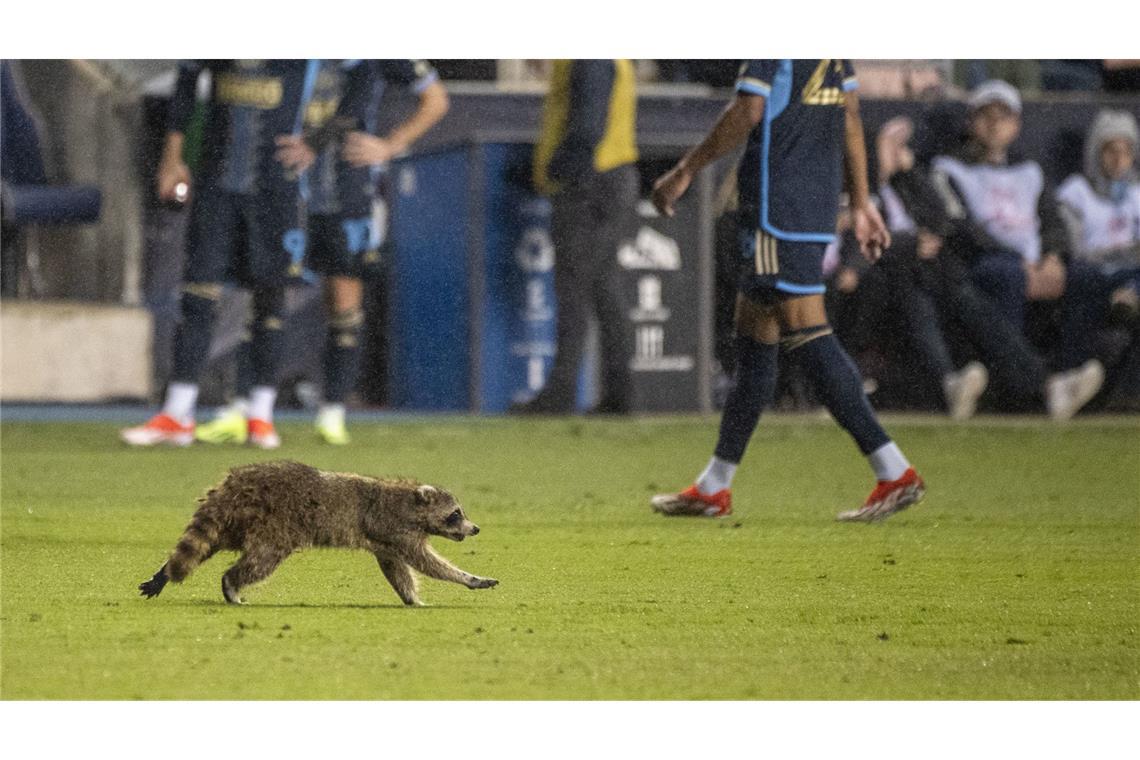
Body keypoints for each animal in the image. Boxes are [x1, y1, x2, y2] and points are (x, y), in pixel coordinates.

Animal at [139, 458, 499, 606]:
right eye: (455, 515)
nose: (475, 528)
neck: (411, 501)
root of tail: (236, 484)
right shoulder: (397, 529)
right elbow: (427, 562)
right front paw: (468, 578)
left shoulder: (386, 542)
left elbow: (396, 569)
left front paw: (411, 598)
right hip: (275, 524)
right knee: (260, 561)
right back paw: (231, 583)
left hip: (234, 521)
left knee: (206, 544)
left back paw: (164, 573)